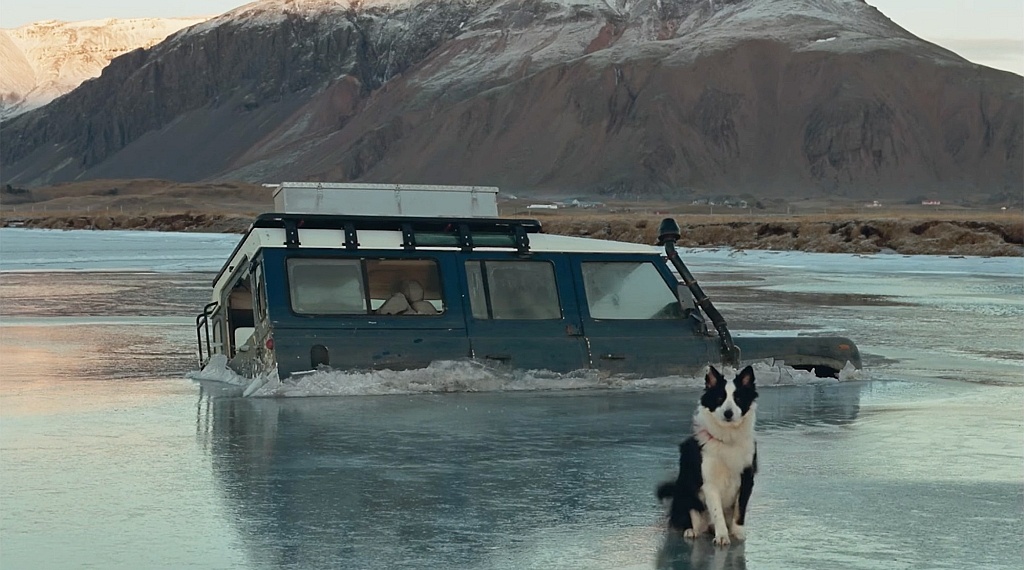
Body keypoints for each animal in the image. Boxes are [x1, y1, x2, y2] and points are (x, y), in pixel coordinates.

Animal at [657, 364, 758, 547]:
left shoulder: (747, 477)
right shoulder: (710, 483)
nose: (728, 413)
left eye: (738, 399)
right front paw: (722, 536)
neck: (726, 440)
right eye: (719, 398)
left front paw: (738, 533)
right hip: (684, 492)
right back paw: (691, 531)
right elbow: (717, 512)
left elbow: (740, 510)